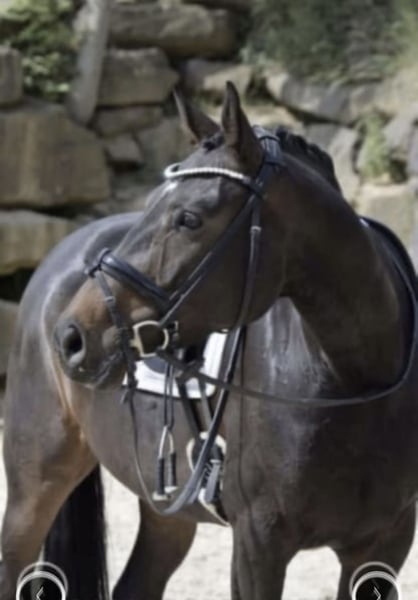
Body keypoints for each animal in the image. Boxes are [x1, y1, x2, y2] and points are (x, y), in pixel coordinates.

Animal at [1, 82, 418, 600]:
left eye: (189, 219)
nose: (72, 336)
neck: (357, 382)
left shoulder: (386, 544)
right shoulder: (258, 544)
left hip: (167, 510)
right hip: (34, 487)